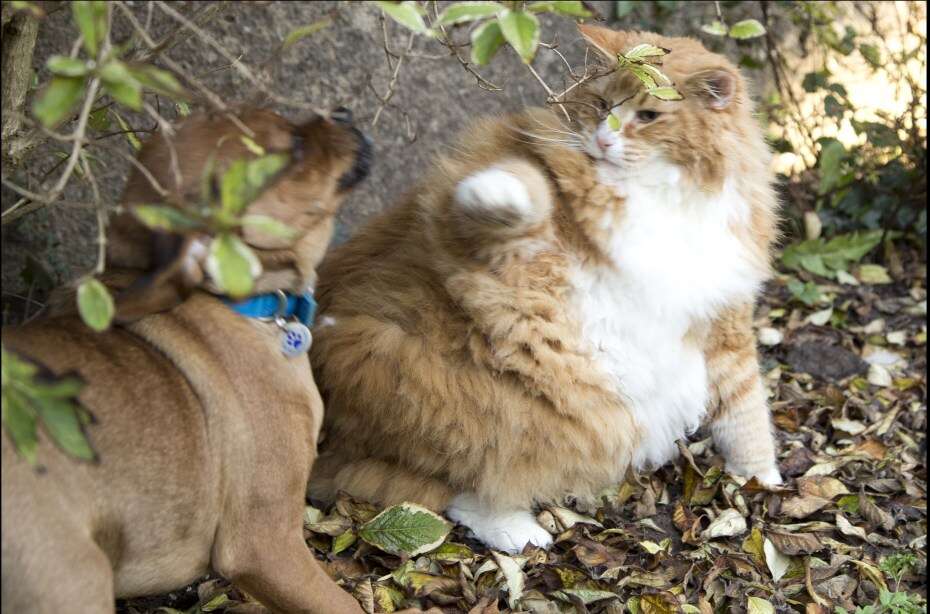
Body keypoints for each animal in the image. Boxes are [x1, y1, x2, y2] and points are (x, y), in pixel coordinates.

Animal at [308, 25, 780, 552]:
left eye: (648, 116)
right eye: (601, 104)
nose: (603, 139)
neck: (660, 199)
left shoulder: (724, 321)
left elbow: (746, 410)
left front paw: (760, 479)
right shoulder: (481, 235)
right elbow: (521, 190)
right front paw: (491, 190)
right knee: (462, 486)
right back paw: (521, 535)